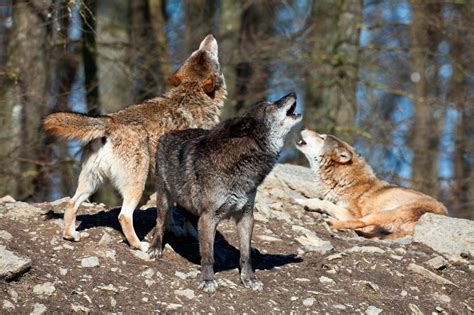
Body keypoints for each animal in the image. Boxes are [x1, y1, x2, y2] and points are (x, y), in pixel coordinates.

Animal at [41, 34, 227, 252]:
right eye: (206, 53)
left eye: (199, 53)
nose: (210, 36)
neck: (190, 96)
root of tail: (111, 121)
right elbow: (188, 216)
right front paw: (196, 237)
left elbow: (168, 212)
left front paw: (174, 230)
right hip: (136, 184)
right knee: (123, 215)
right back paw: (140, 245)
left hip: (92, 182)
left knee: (71, 204)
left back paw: (71, 235)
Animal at [150, 92, 302, 292]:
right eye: (269, 106)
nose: (293, 93)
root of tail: (167, 134)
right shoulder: (209, 216)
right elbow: (208, 256)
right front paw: (208, 280)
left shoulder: (246, 216)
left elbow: (245, 255)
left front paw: (249, 279)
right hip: (164, 197)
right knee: (160, 223)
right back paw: (156, 247)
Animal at [296, 128, 448, 239]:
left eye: (322, 137)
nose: (304, 128)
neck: (343, 180)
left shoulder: (353, 213)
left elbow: (325, 203)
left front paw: (305, 201)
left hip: (385, 212)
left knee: (361, 223)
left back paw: (330, 221)